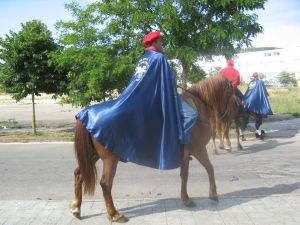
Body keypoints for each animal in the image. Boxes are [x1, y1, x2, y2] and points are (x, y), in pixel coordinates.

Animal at [69, 75, 233, 221]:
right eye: (231, 94)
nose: (225, 118)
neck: (198, 109)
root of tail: (85, 114)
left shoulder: (186, 155)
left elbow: (184, 176)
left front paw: (186, 199)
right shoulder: (199, 149)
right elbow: (209, 169)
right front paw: (213, 195)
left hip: (93, 155)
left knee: (79, 174)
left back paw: (76, 208)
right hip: (110, 159)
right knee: (105, 184)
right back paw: (114, 214)